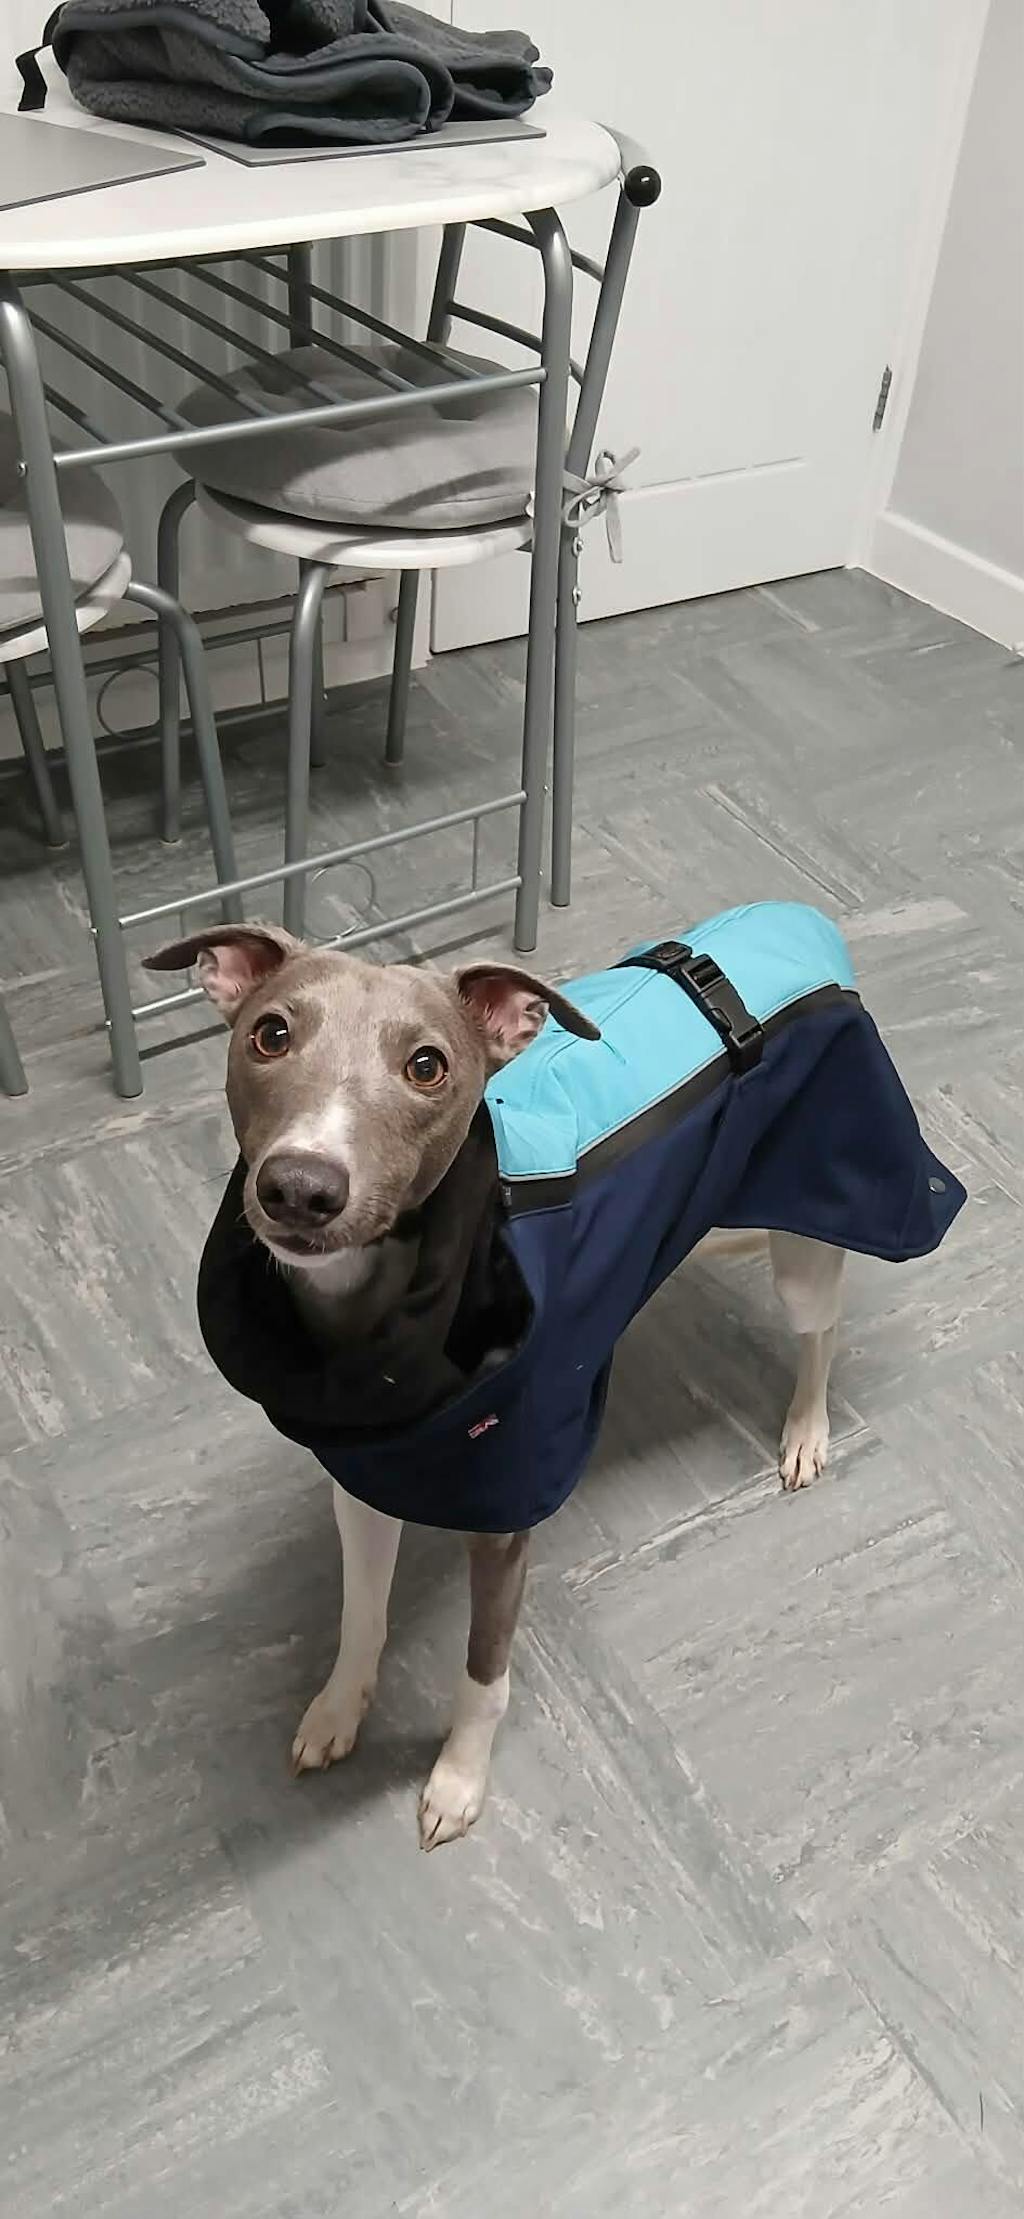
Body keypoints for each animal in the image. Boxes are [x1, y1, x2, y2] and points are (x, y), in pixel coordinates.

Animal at [146, 909, 963, 1847]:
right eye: (270, 1034)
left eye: (427, 1065)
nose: (300, 1188)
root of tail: (799, 918)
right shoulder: (362, 1478)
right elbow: (361, 1613)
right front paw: (339, 1707)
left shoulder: (505, 1518)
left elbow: (484, 1671)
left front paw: (458, 1779)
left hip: (812, 1224)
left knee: (821, 1328)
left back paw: (806, 1432)